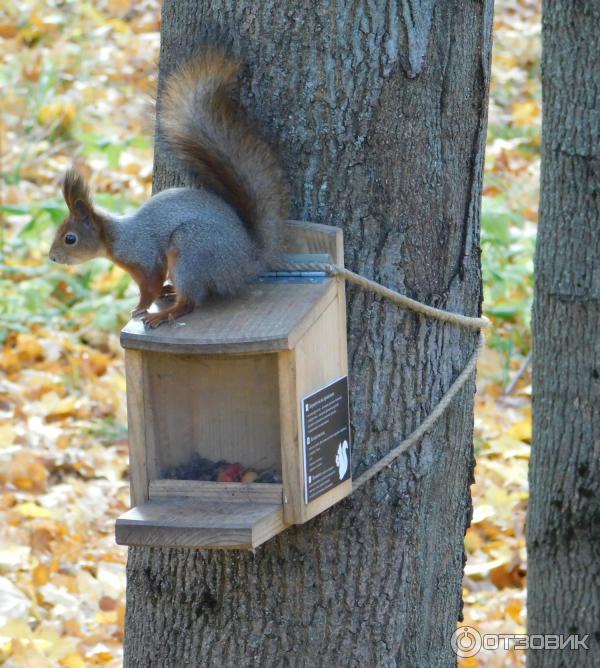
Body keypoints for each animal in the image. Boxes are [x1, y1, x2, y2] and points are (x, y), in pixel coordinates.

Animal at [49, 52, 288, 328]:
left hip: (191, 252)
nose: (52, 257)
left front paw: (140, 308)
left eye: (70, 239)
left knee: (189, 302)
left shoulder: (145, 256)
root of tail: (248, 260)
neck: (115, 237)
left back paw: (163, 314)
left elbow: (150, 286)